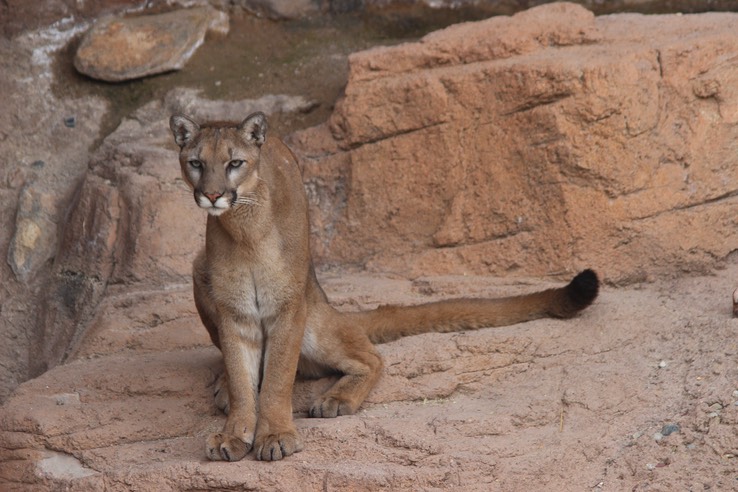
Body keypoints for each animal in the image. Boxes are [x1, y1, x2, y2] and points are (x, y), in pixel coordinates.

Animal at [168, 110, 600, 462]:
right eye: (196, 163)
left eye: (234, 163)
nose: (212, 194)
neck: (244, 232)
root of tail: (326, 302)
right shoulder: (234, 313)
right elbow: (245, 382)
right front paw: (233, 433)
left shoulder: (287, 310)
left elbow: (276, 381)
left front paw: (274, 435)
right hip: (199, 269)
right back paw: (225, 386)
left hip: (314, 324)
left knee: (371, 358)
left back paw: (336, 399)